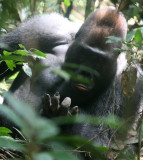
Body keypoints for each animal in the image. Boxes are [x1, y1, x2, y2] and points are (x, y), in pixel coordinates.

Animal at [0, 7, 143, 160]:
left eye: (99, 62)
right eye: (85, 54)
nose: (85, 73)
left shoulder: (131, 84)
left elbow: (101, 142)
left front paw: (61, 118)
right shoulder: (44, 27)